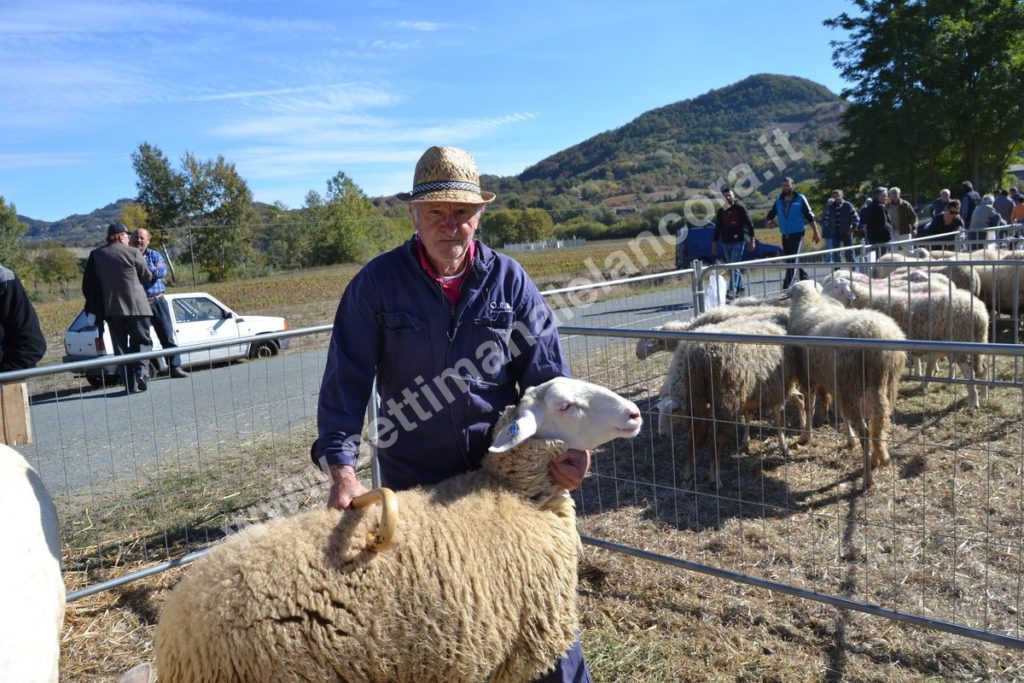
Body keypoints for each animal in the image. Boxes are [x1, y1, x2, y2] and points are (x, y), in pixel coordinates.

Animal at [651, 317, 802, 489]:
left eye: (673, 412)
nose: (661, 434)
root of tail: (698, 355)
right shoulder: (773, 389)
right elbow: (776, 421)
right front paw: (783, 447)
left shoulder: (755, 392)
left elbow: (754, 417)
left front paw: (748, 443)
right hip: (725, 399)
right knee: (715, 439)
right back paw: (715, 479)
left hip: (700, 399)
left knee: (693, 435)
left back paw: (687, 474)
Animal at [782, 280, 905, 489]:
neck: (810, 301)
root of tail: (876, 335)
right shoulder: (837, 383)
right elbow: (842, 413)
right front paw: (850, 440)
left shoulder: (809, 377)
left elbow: (809, 407)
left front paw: (806, 436)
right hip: (879, 385)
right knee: (878, 421)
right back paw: (877, 457)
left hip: (853, 383)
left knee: (866, 430)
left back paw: (867, 477)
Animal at [823, 274, 991, 409]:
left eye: (836, 287)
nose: (824, 298)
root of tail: (980, 314)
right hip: (977, 343)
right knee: (982, 368)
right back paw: (984, 394)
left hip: (960, 342)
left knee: (969, 372)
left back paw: (974, 401)